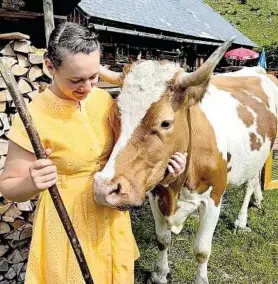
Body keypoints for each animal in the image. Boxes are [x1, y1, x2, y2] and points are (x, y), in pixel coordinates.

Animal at [94, 36, 278, 282]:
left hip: (263, 152)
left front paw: (201, 279)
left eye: (165, 122)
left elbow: (201, 250)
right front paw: (160, 274)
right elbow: (162, 239)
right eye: (114, 115)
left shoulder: (213, 199)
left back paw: (241, 219)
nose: (104, 187)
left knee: (250, 182)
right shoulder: (155, 193)